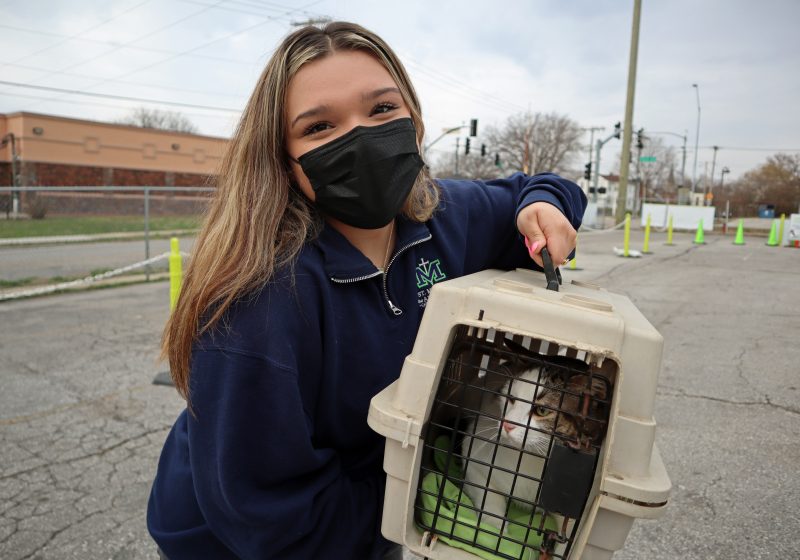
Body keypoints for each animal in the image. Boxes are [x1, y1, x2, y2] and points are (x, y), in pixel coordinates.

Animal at [372, 264, 672, 560]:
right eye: (511, 399)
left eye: (541, 410)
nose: (507, 425)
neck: (530, 463)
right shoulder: (477, 461)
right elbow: (491, 509)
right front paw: (497, 538)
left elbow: (566, 534)